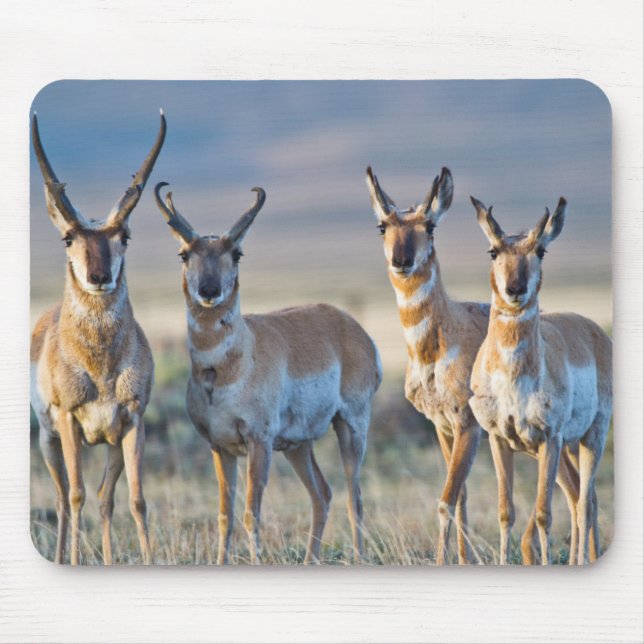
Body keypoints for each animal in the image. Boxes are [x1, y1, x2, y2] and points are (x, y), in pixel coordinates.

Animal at [30, 112, 166, 564]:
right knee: (61, 498)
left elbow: (135, 500)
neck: (100, 367)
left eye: (124, 236)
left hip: (107, 444)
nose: (99, 276)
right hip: (48, 441)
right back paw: (59, 557)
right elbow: (75, 496)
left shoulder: (131, 422)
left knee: (106, 498)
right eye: (68, 237)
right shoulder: (69, 421)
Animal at [154, 182, 382, 564]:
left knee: (356, 497)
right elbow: (225, 515)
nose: (210, 291)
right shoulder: (220, 447)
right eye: (184, 254)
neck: (227, 368)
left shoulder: (258, 442)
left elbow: (251, 513)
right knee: (322, 494)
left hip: (351, 427)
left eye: (237, 253)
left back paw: (359, 558)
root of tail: (351, 326)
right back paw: (310, 560)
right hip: (297, 445)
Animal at [366, 166, 489, 564]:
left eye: (430, 225)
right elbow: (461, 495)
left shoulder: (468, 427)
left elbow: (446, 501)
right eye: (382, 226)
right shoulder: (442, 426)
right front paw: (463, 560)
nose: (401, 260)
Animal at [468, 196, 612, 565]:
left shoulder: (550, 437)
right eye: (493, 250)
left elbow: (545, 513)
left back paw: (582, 560)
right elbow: (506, 511)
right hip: (561, 450)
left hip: (590, 437)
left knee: (585, 502)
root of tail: (592, 328)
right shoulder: (499, 439)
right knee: (579, 496)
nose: (515, 289)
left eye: (541, 250)